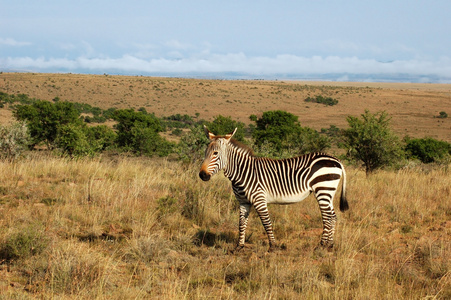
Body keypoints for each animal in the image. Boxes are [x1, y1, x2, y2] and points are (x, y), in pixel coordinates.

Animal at [200, 125, 352, 252]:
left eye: (215, 153)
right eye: (205, 152)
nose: (202, 175)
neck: (243, 172)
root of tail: (336, 160)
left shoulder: (259, 199)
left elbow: (266, 222)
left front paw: (273, 246)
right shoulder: (243, 202)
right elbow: (241, 223)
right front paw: (239, 246)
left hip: (323, 189)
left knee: (327, 217)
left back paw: (321, 245)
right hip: (328, 192)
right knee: (333, 216)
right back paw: (330, 245)